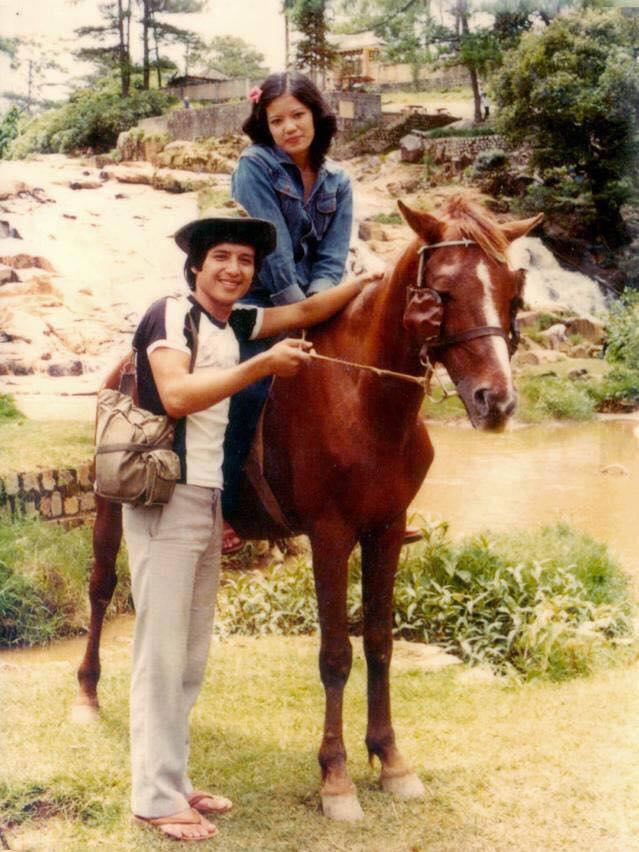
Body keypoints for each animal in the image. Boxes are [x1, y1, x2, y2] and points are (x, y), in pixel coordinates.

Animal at [74, 194, 542, 821]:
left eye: (513, 293)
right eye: (440, 293)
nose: (498, 401)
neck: (366, 401)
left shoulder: (385, 532)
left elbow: (379, 643)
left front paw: (391, 760)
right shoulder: (331, 535)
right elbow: (336, 655)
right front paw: (336, 778)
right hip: (107, 507)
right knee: (102, 587)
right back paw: (88, 694)